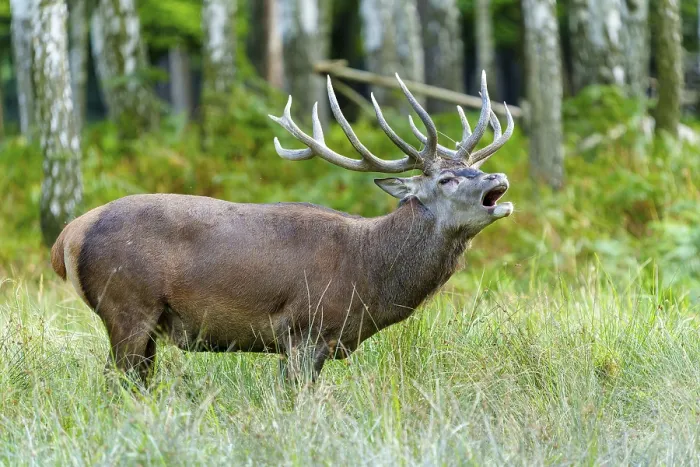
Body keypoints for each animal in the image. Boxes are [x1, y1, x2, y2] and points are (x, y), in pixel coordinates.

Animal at [50, 71, 514, 386]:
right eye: (446, 179)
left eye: (477, 169)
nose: (498, 179)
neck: (367, 276)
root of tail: (68, 236)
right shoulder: (304, 328)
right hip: (127, 305)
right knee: (115, 381)